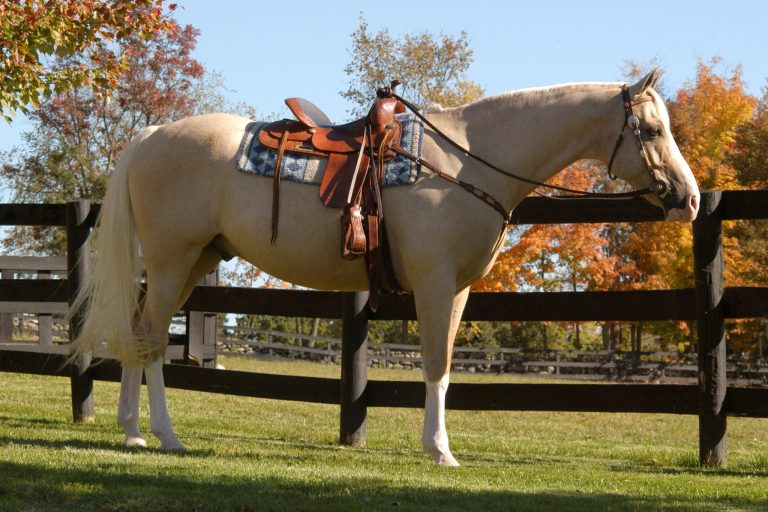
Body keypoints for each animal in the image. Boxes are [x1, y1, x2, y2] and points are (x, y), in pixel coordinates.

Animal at [70, 69, 699, 466]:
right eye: (650, 130)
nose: (690, 199)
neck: (467, 160)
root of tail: (153, 134)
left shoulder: (459, 290)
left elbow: (443, 367)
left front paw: (437, 445)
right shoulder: (435, 283)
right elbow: (436, 365)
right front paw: (440, 451)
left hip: (193, 261)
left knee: (140, 334)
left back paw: (133, 432)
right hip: (173, 261)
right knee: (151, 340)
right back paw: (162, 435)